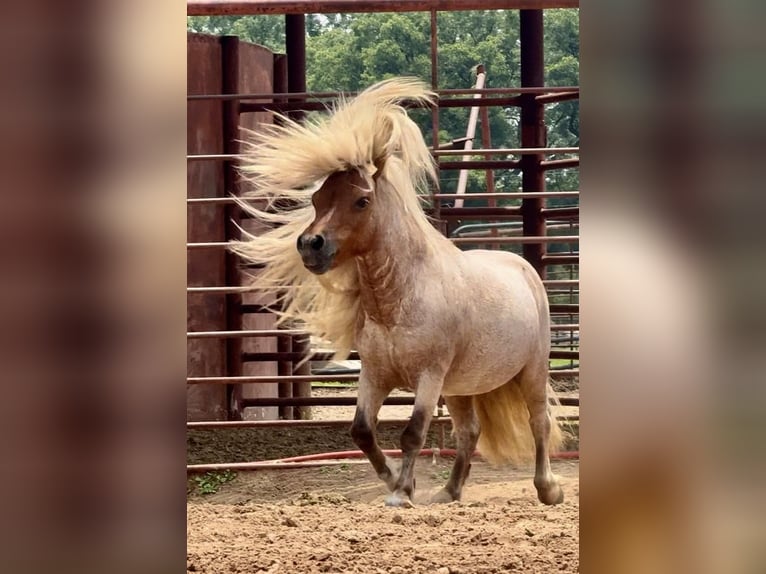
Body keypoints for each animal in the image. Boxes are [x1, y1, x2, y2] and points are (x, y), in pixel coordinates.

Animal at [234, 77, 564, 508]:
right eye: (317, 199)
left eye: (362, 200)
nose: (310, 245)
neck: (400, 302)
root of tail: (524, 269)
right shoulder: (375, 375)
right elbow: (362, 431)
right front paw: (393, 480)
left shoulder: (428, 376)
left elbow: (413, 432)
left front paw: (402, 493)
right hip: (461, 386)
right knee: (469, 431)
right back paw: (449, 492)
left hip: (531, 370)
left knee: (538, 422)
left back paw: (548, 488)